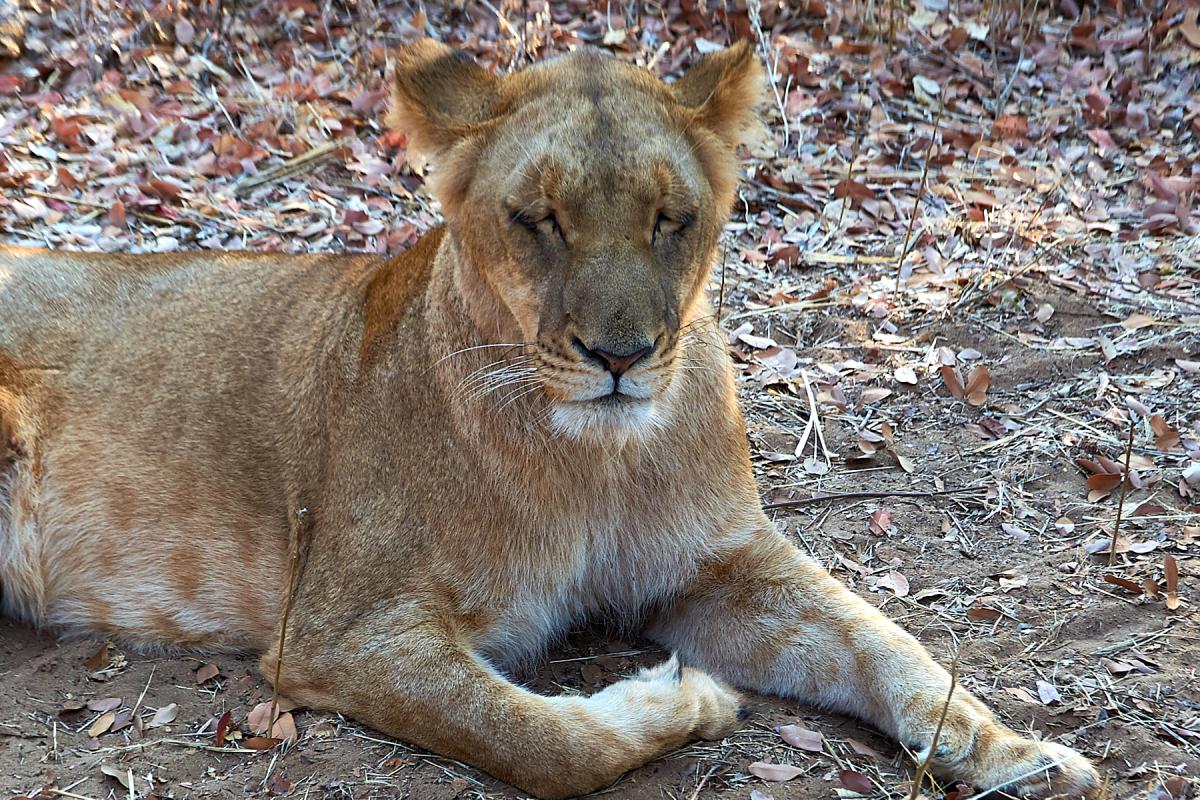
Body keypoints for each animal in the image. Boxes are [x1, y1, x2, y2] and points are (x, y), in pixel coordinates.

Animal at [0, 40, 1098, 798]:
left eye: (671, 219)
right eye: (540, 220)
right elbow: (540, 740)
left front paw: (1018, 750)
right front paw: (684, 698)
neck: (595, 464)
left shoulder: (720, 561)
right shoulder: (339, 628)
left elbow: (886, 641)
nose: (620, 356)